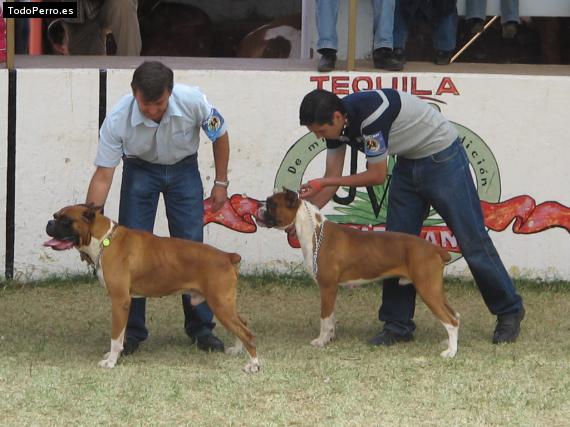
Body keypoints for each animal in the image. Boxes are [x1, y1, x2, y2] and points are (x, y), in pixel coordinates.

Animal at [45, 206, 258, 372]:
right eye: (55, 215)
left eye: (65, 220)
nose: (48, 222)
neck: (105, 239)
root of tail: (228, 256)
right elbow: (121, 335)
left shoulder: (120, 301)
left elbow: (115, 336)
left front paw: (111, 361)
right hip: (225, 304)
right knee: (244, 323)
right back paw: (237, 350)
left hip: (220, 305)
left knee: (247, 333)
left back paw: (253, 365)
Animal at [255, 191, 460, 358]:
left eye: (271, 203)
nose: (258, 207)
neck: (315, 231)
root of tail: (434, 248)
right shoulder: (331, 290)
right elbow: (331, 317)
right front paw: (330, 338)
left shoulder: (327, 288)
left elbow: (324, 318)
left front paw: (321, 341)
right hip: (435, 289)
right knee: (455, 316)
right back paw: (449, 343)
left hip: (427, 290)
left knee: (450, 320)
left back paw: (450, 352)